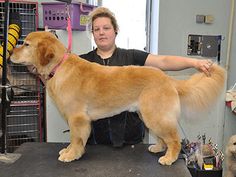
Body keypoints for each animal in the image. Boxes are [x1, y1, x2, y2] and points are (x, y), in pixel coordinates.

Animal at [9, 31, 227, 165]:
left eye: (26, 44)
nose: (11, 52)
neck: (59, 67)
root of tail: (167, 79)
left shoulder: (78, 118)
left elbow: (77, 139)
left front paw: (72, 155)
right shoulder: (75, 119)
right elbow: (74, 139)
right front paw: (68, 151)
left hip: (155, 115)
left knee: (174, 139)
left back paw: (169, 158)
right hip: (149, 115)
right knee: (164, 138)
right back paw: (158, 148)